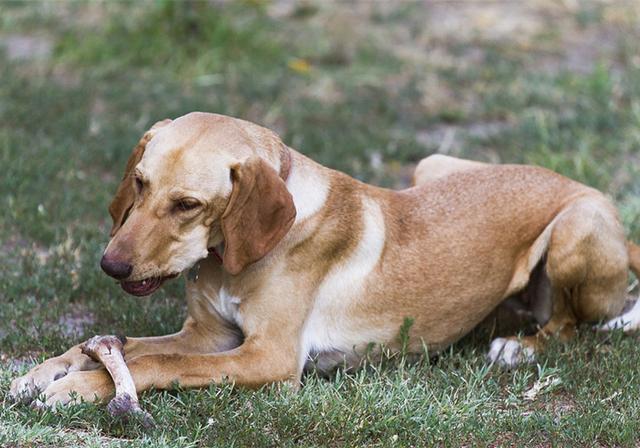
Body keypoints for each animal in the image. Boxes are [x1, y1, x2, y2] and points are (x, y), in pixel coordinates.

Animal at [11, 112, 640, 406]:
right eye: (138, 183)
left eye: (187, 204)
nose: (111, 267)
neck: (229, 258)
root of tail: (576, 183)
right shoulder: (209, 337)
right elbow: (121, 347)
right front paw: (46, 372)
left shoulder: (267, 358)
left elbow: (153, 365)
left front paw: (82, 388)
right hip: (432, 165)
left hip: (575, 229)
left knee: (570, 325)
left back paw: (520, 347)